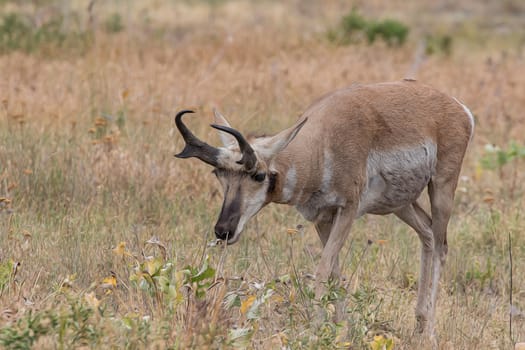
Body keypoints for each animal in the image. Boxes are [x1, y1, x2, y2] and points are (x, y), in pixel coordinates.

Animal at [174, 79, 472, 334]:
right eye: (218, 174)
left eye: (258, 175)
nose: (223, 230)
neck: (321, 146)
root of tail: (458, 106)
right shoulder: (321, 218)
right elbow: (334, 274)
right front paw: (341, 329)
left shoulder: (347, 211)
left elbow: (322, 268)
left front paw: (316, 329)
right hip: (401, 204)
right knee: (427, 234)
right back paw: (420, 322)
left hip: (441, 188)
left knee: (441, 246)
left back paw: (429, 331)